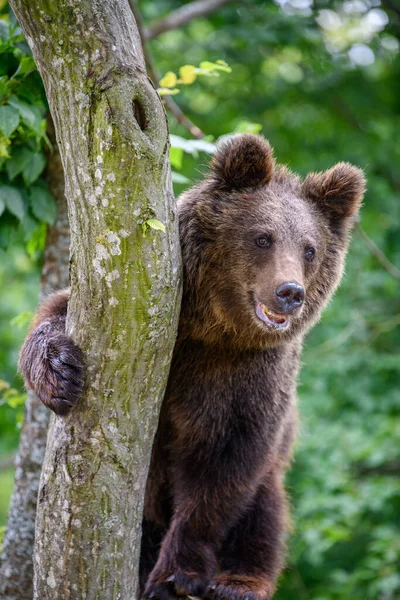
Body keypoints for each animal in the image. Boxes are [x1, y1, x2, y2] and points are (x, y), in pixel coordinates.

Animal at [19, 136, 366, 600]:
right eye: (263, 237)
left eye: (310, 248)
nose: (290, 292)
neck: (214, 329)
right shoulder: (156, 319)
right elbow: (54, 315)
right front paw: (61, 373)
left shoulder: (248, 377)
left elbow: (222, 467)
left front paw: (177, 576)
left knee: (265, 508)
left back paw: (239, 581)